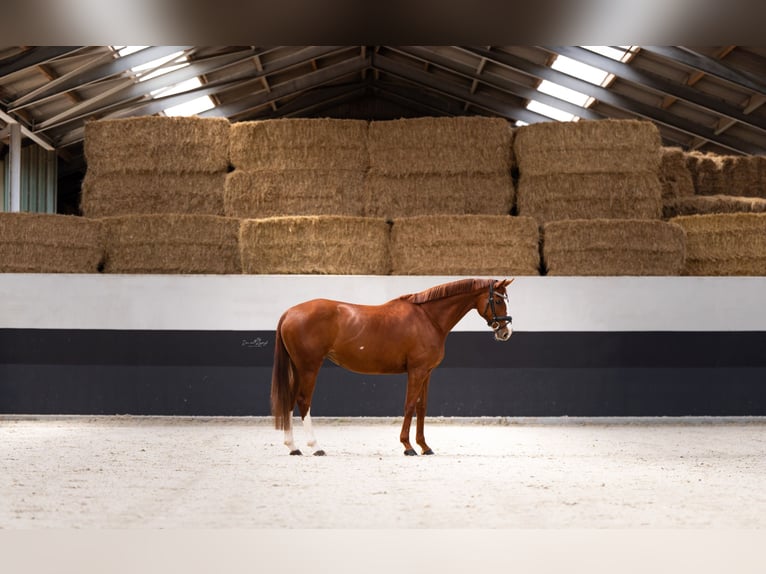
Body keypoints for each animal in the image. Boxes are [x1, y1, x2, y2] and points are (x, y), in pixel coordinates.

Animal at [270, 277, 514, 456]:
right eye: (498, 301)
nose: (505, 332)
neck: (428, 318)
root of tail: (290, 312)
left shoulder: (427, 372)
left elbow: (421, 407)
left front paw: (425, 447)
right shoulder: (416, 371)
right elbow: (409, 406)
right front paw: (408, 447)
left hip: (298, 368)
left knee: (290, 400)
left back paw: (293, 447)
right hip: (309, 367)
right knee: (303, 401)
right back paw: (315, 446)